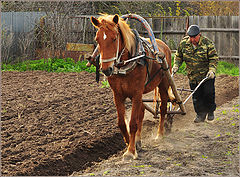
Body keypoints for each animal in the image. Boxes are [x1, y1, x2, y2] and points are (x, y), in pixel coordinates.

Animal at [90, 14, 174, 160]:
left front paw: (130, 151)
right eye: (97, 39)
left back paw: (160, 134)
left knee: (163, 108)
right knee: (142, 112)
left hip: (163, 84)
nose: (106, 69)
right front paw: (131, 143)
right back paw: (139, 140)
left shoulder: (136, 93)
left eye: (114, 38)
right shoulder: (118, 94)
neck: (126, 65)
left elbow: (133, 123)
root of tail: (163, 45)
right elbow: (122, 123)